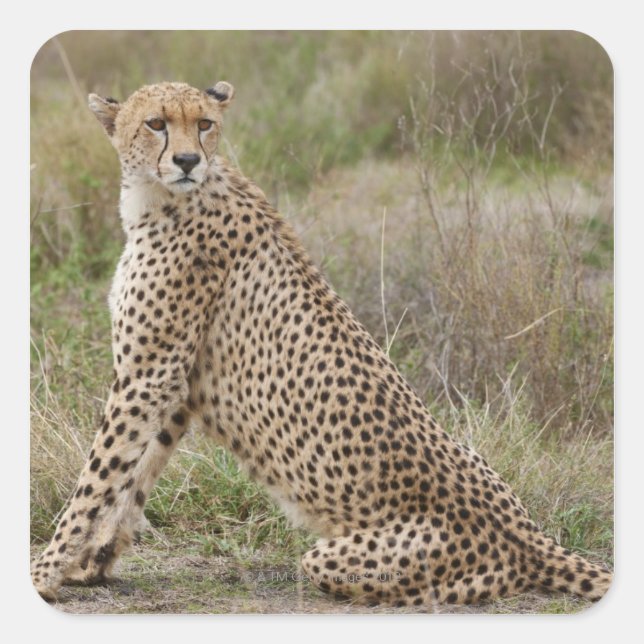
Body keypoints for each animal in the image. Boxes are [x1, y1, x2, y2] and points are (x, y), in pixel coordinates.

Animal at [31, 80, 612, 608]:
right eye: (156, 123)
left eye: (205, 124)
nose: (189, 159)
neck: (161, 196)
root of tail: (532, 537)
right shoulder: (172, 384)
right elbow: (131, 478)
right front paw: (93, 565)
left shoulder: (147, 376)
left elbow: (94, 481)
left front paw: (45, 572)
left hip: (339, 555)